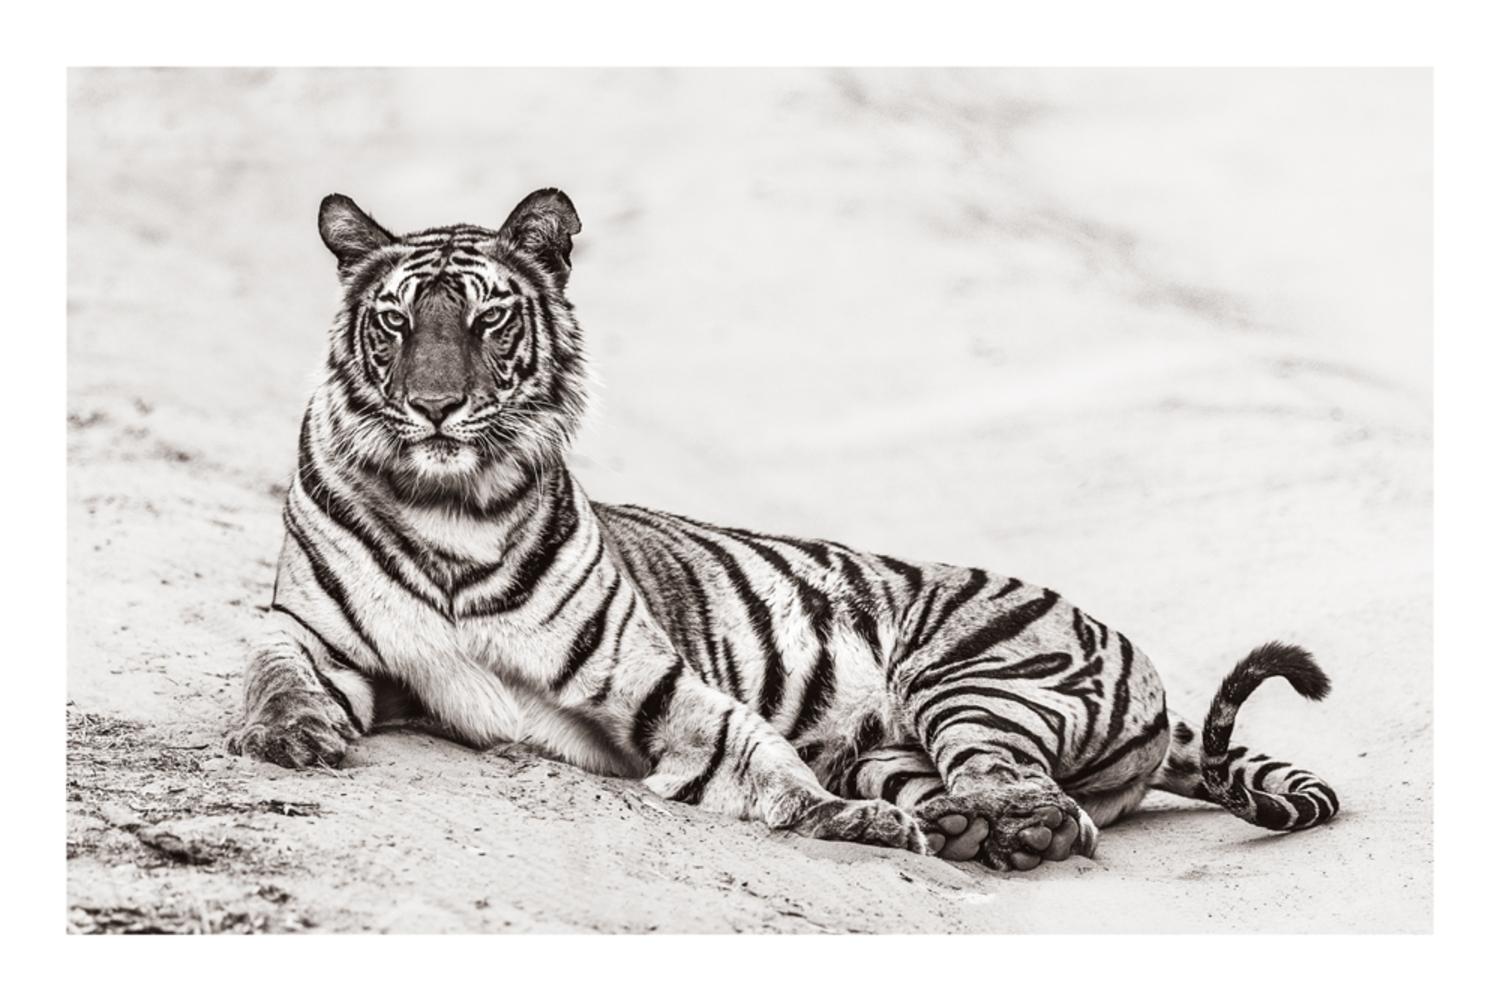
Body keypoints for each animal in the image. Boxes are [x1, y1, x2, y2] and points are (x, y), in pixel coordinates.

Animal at [227, 188, 1340, 870]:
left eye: (488, 320)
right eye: (397, 322)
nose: (435, 409)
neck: (447, 502)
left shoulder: (650, 677)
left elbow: (747, 751)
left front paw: (841, 823)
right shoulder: (320, 633)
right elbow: (269, 665)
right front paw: (285, 734)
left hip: (976, 678)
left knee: (1039, 796)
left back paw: (991, 829)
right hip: (900, 737)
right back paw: (955, 823)